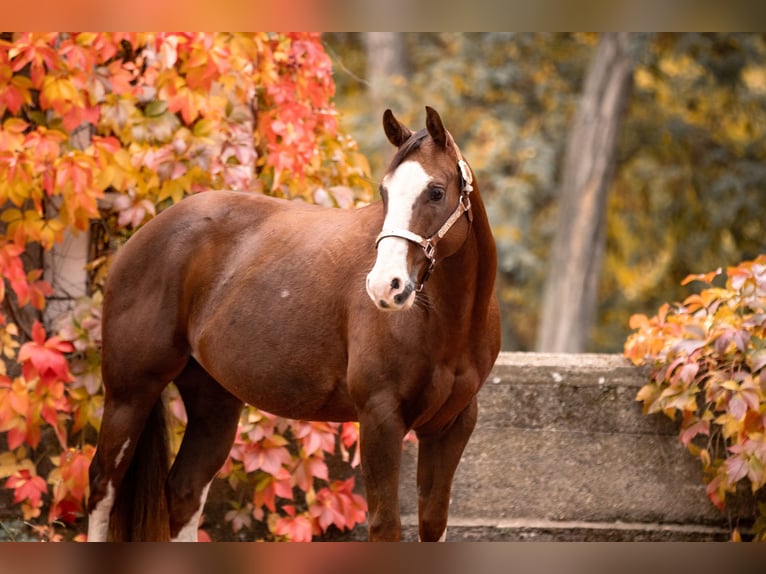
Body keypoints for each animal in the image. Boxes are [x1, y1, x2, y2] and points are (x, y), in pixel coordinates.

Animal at [86, 106, 501, 542]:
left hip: (213, 401)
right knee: (103, 485)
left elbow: (433, 522)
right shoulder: (380, 418)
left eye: (436, 191)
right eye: (385, 193)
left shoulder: (451, 426)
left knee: (185, 491)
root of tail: (147, 232)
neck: (448, 323)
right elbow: (385, 526)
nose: (385, 285)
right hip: (130, 392)